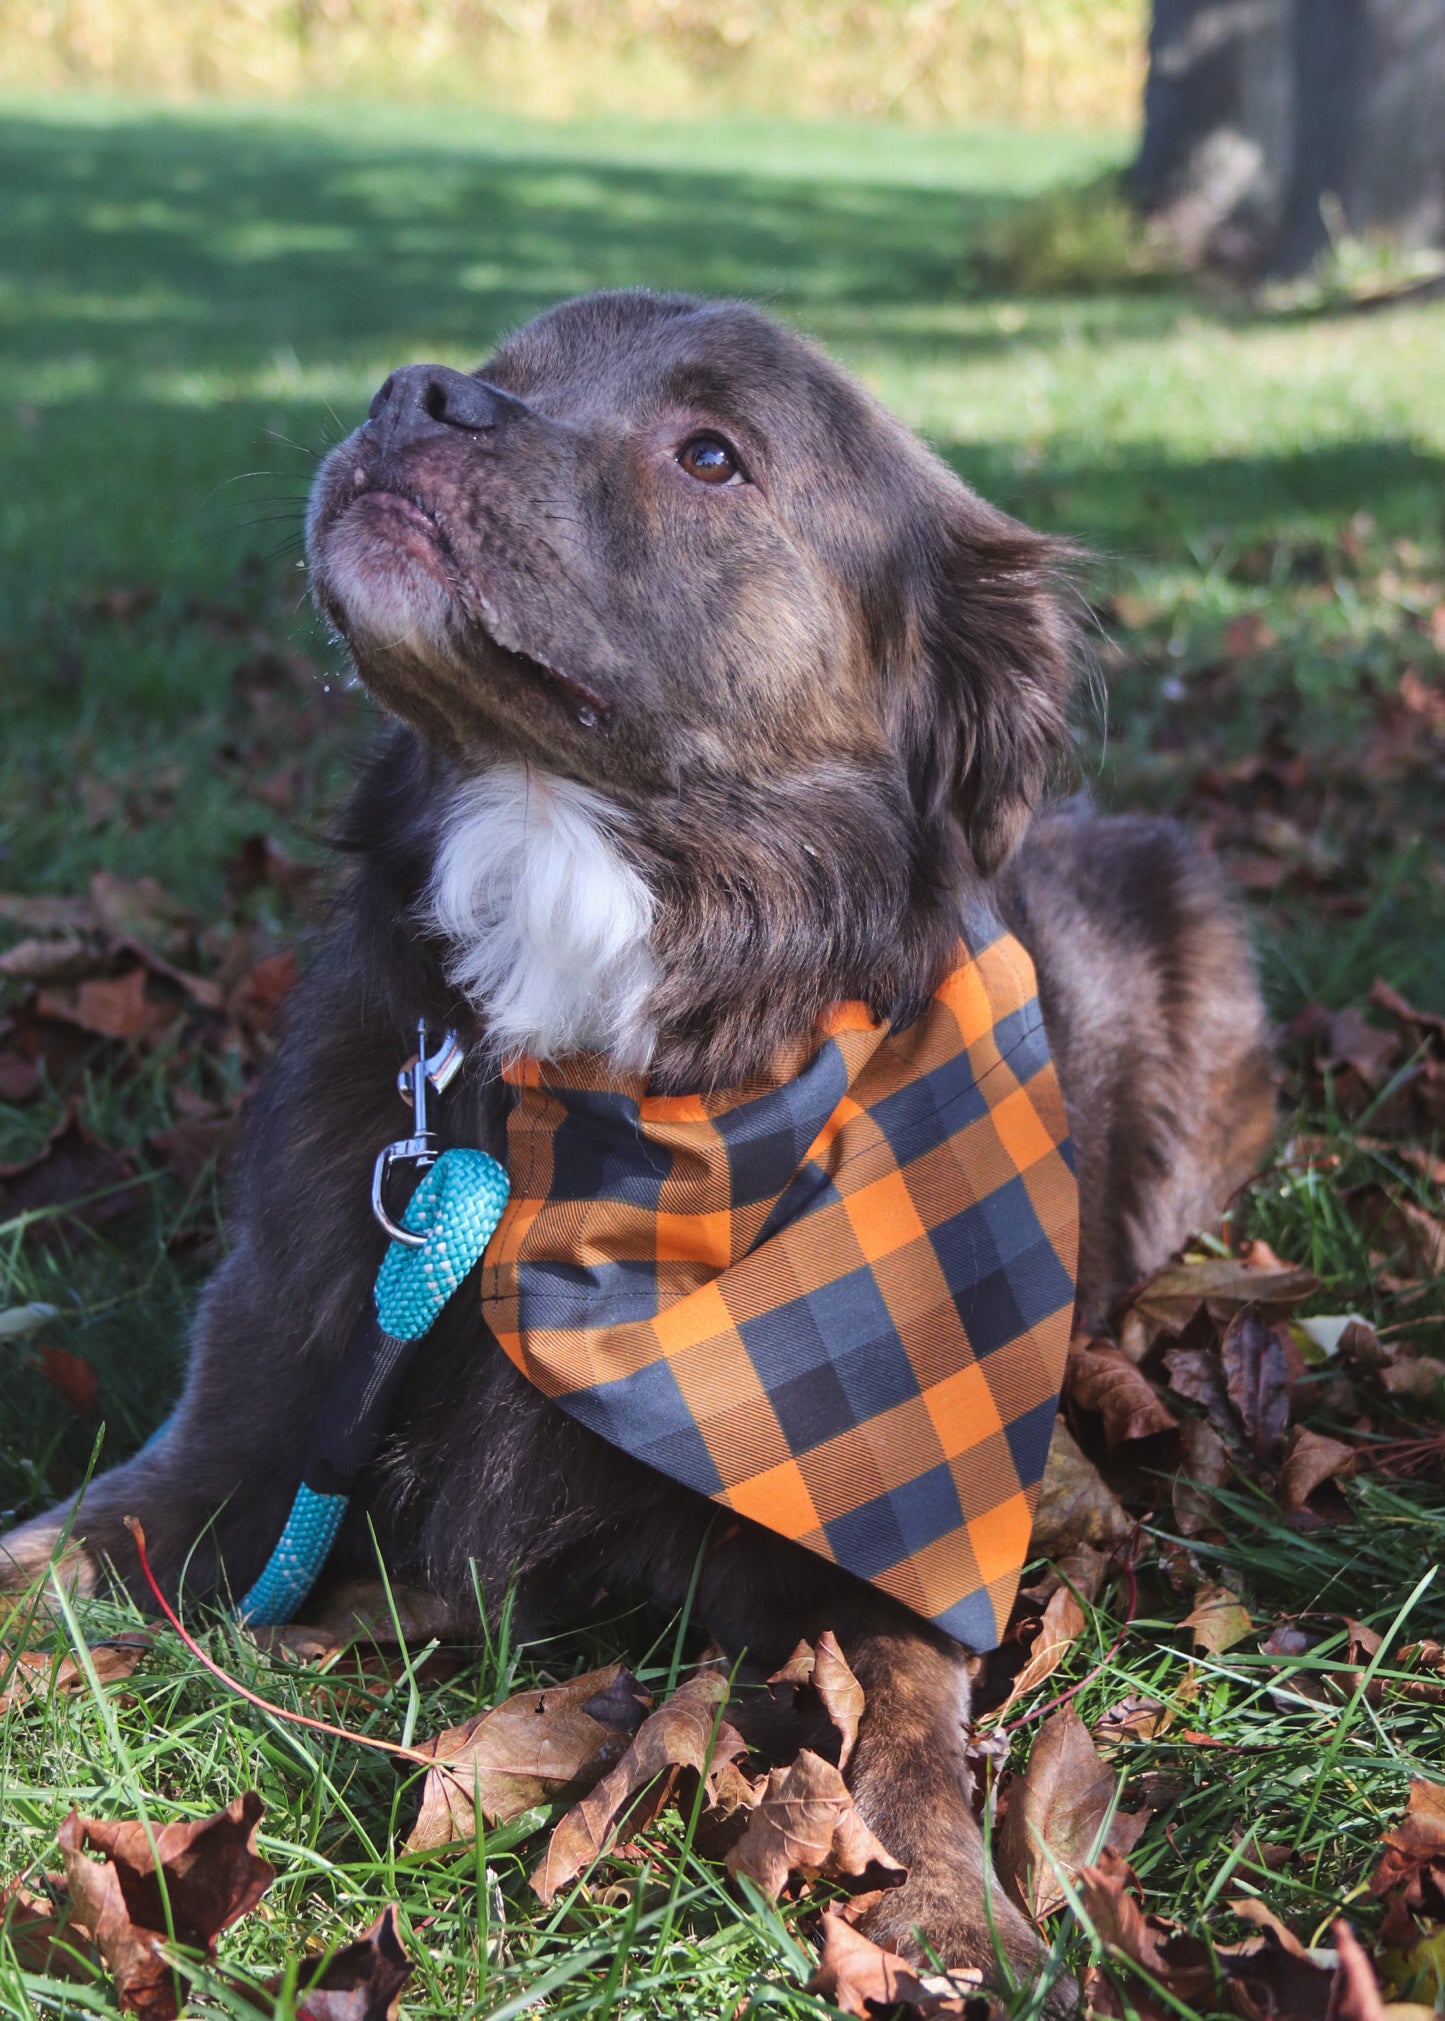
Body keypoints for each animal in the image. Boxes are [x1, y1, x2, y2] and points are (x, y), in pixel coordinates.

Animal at [0, 289, 1269, 2004]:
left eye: (710, 454)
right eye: (506, 368)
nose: (417, 393)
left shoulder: (895, 1518)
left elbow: (905, 1716)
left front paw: (947, 1906)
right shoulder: (248, 1427)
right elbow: (49, 1557)